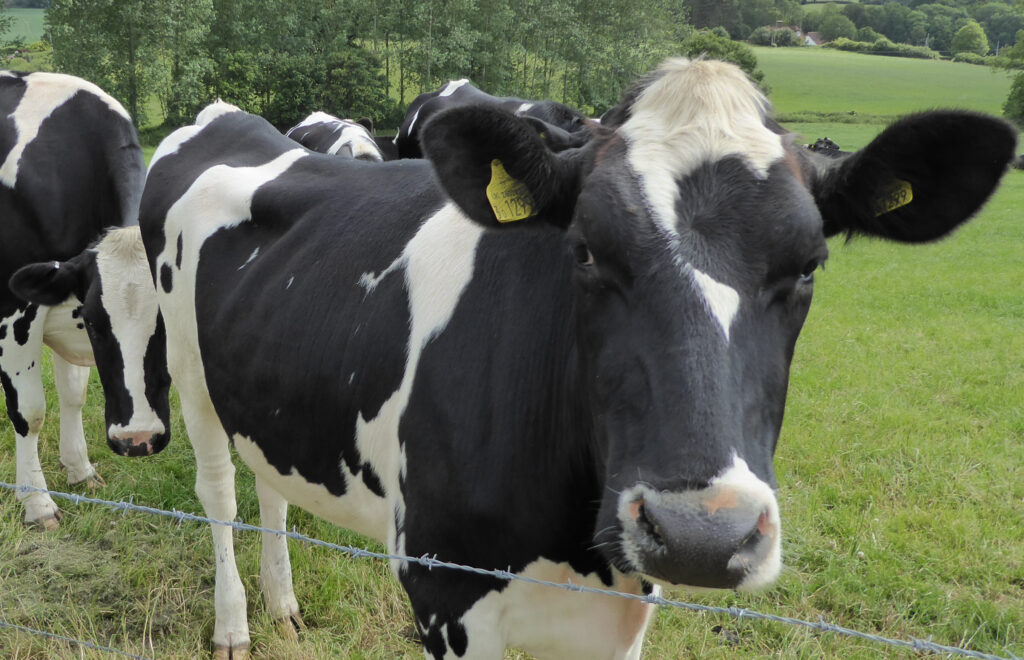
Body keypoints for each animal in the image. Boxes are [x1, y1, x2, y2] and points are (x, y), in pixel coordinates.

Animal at [0, 71, 171, 529]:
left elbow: (73, 394)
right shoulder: (13, 311)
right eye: (96, 322)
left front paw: (79, 470)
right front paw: (37, 503)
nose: (138, 438)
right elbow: (29, 411)